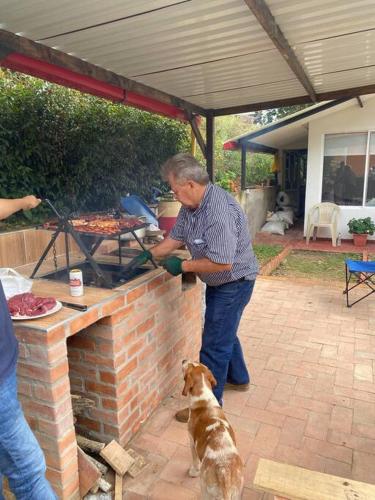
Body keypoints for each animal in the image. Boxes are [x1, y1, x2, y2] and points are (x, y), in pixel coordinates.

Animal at [181, 362, 244, 498]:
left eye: (189, 364)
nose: (183, 360)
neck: (204, 399)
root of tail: (223, 472)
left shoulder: (191, 441)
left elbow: (195, 461)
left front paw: (193, 471)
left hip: (205, 488)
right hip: (237, 493)